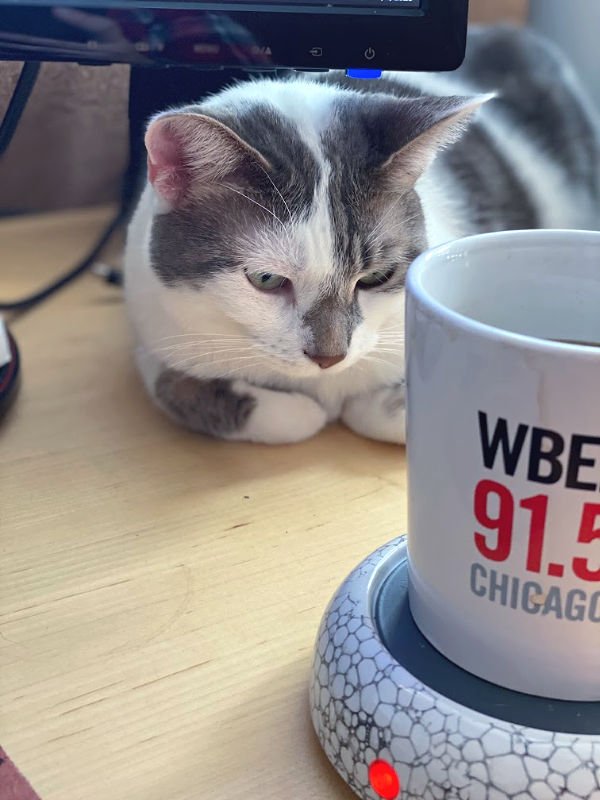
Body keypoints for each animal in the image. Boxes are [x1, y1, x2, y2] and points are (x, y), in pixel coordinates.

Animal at [124, 26, 600, 444]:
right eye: (266, 280)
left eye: (375, 278)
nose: (329, 358)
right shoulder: (158, 332)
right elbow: (181, 389)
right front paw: (302, 410)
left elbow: (387, 413)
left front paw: (367, 405)